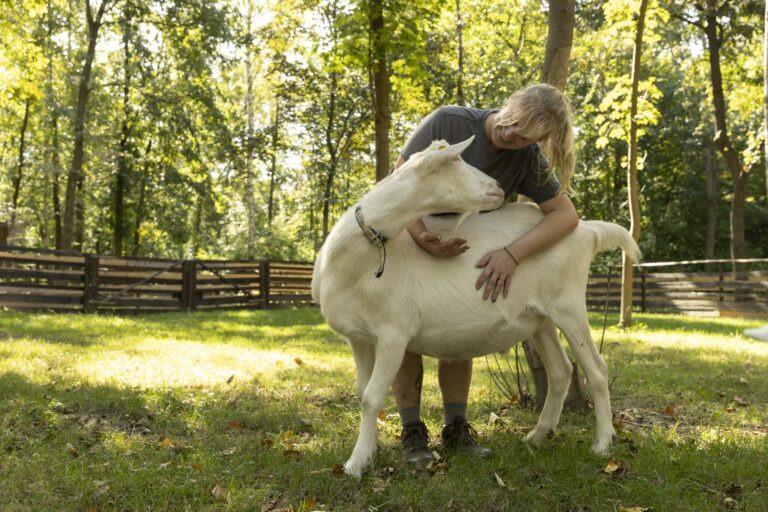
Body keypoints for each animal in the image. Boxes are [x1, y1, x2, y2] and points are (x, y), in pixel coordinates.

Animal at [312, 136, 640, 476]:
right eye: (456, 161)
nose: (496, 186)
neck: (363, 257)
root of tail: (587, 231)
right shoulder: (359, 337)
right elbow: (361, 393)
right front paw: (370, 452)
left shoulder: (394, 334)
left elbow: (372, 397)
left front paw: (355, 463)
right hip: (540, 317)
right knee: (561, 370)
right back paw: (538, 435)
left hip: (569, 304)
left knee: (596, 369)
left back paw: (603, 444)